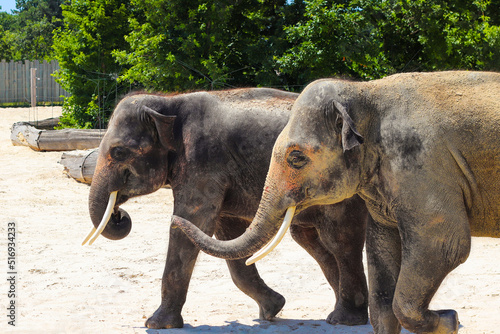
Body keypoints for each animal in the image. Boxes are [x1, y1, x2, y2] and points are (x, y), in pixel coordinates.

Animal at [83, 88, 372, 328]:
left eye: (119, 152)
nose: (119, 216)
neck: (169, 101)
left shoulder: (202, 161)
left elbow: (193, 224)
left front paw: (156, 324)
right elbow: (228, 234)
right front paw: (271, 310)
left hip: (342, 191)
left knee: (340, 241)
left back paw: (346, 319)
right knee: (311, 241)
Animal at [172, 72, 500, 332]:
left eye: (296, 158)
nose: (175, 219)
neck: (365, 92)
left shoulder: (421, 165)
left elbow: (445, 245)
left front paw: (450, 320)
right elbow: (382, 256)